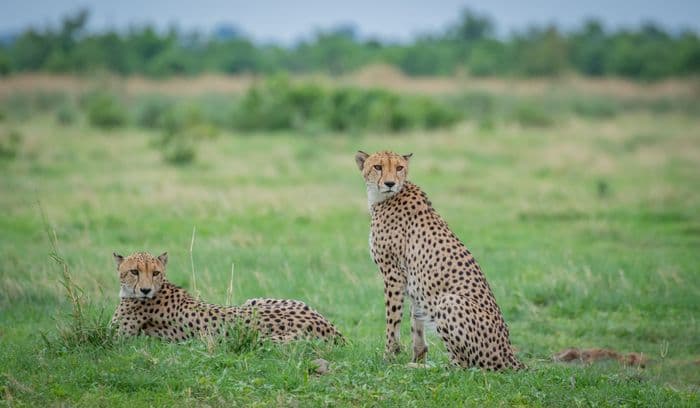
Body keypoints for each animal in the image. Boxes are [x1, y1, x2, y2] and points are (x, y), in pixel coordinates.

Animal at [358, 150, 524, 370]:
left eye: (399, 167)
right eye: (378, 167)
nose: (390, 183)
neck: (383, 197)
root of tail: (511, 357)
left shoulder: (393, 274)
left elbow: (392, 319)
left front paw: (389, 358)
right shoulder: (412, 281)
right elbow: (416, 322)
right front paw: (417, 356)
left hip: (448, 301)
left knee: (461, 366)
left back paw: (421, 368)